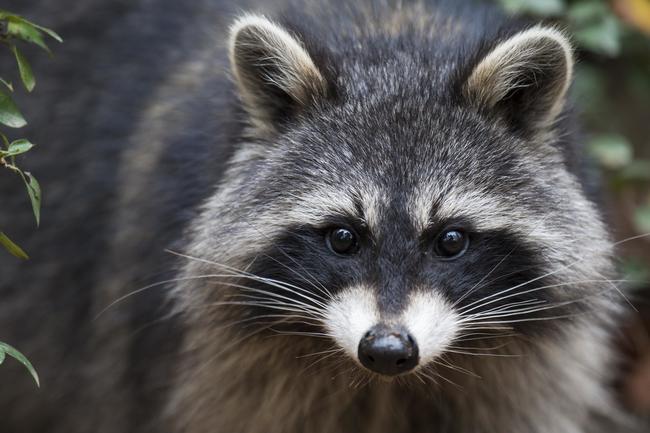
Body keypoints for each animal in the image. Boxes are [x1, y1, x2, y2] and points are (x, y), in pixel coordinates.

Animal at [0, 0, 636, 430]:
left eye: (451, 240)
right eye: (343, 237)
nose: (387, 350)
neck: (398, 39)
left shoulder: (525, 375)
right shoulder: (198, 363)